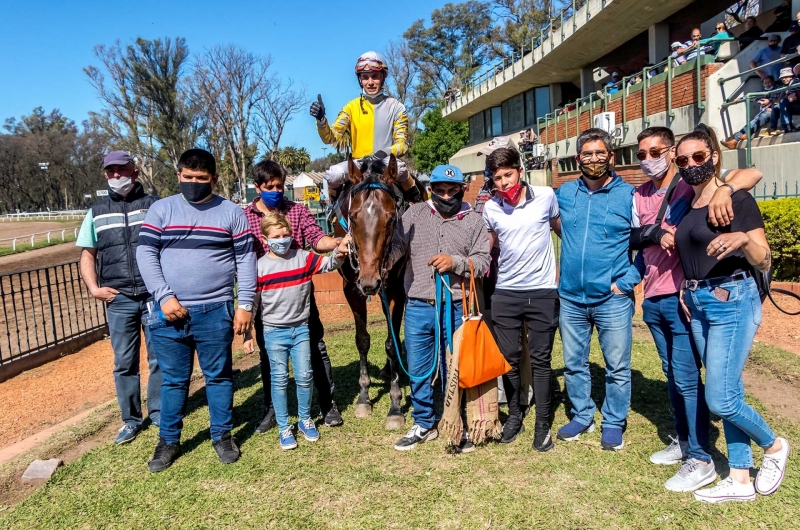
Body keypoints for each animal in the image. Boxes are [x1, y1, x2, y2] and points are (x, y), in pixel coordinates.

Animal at [332, 154, 418, 428]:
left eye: (391, 219)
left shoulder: (395, 290)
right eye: (353, 217)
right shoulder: (351, 288)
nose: (369, 281)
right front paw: (363, 397)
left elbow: (391, 343)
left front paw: (395, 405)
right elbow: (362, 340)